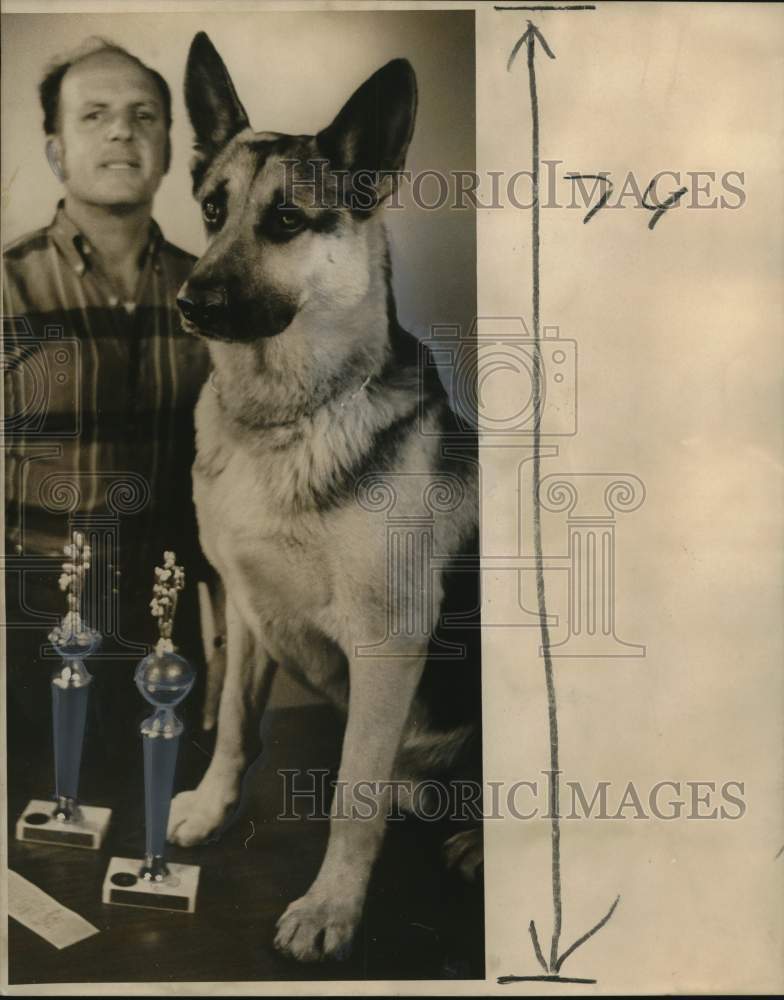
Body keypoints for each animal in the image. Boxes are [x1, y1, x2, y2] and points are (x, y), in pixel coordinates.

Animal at [168, 35, 480, 964]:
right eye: (212, 210)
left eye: (286, 222)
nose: (189, 302)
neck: (287, 418)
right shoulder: (245, 611)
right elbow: (236, 726)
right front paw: (211, 808)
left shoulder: (386, 646)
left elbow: (352, 793)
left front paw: (332, 908)